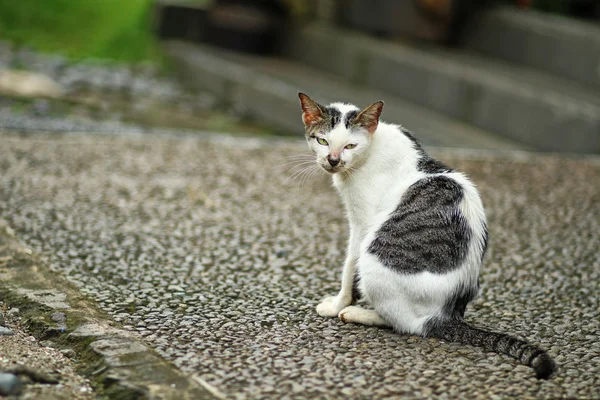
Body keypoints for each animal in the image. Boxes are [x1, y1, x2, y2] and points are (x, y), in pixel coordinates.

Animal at [298, 92, 556, 380]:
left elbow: (348, 269)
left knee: (408, 323)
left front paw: (337, 304)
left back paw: (357, 313)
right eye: (322, 141)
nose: (333, 160)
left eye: (350, 145)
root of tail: (447, 314)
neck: (372, 149)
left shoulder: (362, 224)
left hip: (374, 259)